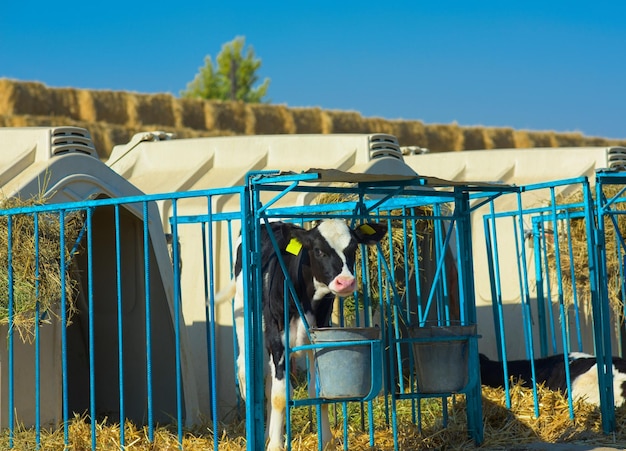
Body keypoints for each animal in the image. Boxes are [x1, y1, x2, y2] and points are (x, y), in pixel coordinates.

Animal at [222, 219, 382, 451]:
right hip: (244, 314)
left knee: (270, 385)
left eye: (352, 248)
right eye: (318, 251)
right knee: (246, 367)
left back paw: (268, 434)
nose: (345, 281)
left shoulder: (320, 339)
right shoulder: (276, 341)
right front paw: (276, 446)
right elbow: (280, 396)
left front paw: (327, 440)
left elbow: (318, 391)